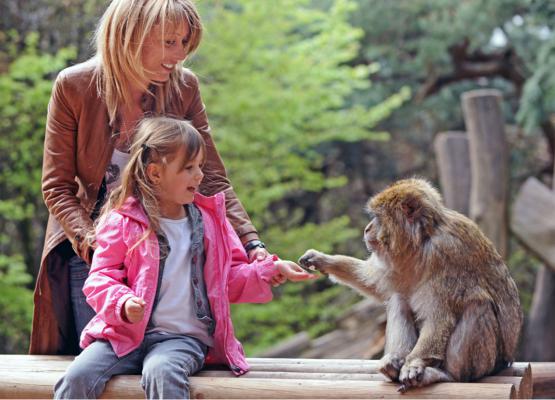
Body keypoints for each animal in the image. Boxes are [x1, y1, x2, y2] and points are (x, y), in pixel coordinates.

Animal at [300, 178, 520, 390]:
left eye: (378, 218)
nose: (367, 228)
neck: (422, 238)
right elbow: (377, 283)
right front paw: (323, 260)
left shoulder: (446, 253)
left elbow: (440, 316)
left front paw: (414, 363)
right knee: (399, 299)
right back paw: (394, 363)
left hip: (489, 363)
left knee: (477, 305)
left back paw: (446, 375)